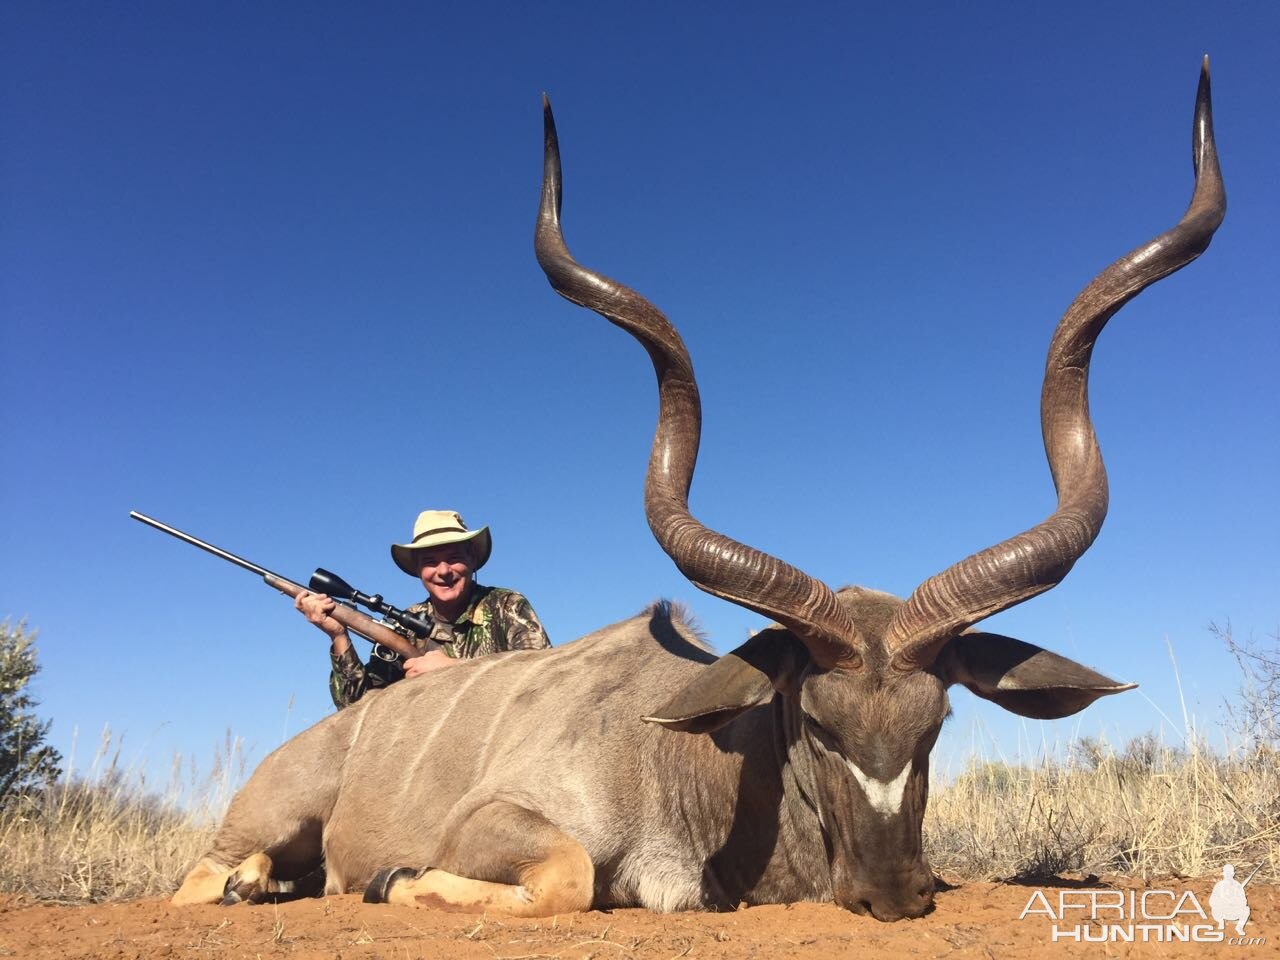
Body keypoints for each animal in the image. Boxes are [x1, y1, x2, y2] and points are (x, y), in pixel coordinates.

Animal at [170, 64, 1218, 921]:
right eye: (817, 720)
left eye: (937, 723)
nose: (895, 893)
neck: (681, 761)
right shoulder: (497, 822)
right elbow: (566, 878)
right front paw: (393, 879)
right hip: (269, 813)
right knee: (200, 877)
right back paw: (248, 883)